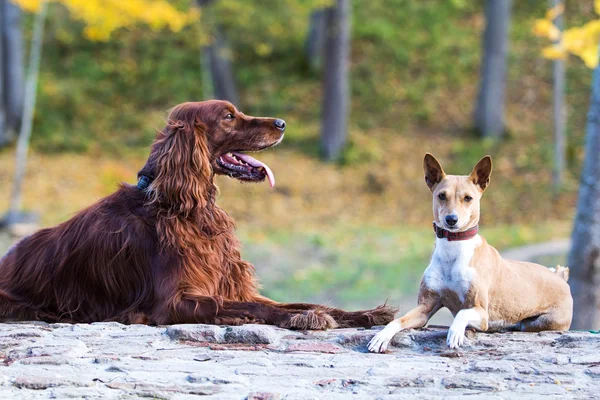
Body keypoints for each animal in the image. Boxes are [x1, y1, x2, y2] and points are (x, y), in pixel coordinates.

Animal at [368, 155, 576, 352]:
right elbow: (398, 320)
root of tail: (560, 278)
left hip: (544, 321)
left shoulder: (481, 313)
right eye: (441, 196)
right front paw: (382, 336)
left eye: (468, 198)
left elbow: (462, 313)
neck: (453, 247)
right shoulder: (424, 308)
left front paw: (455, 332)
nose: (451, 219)